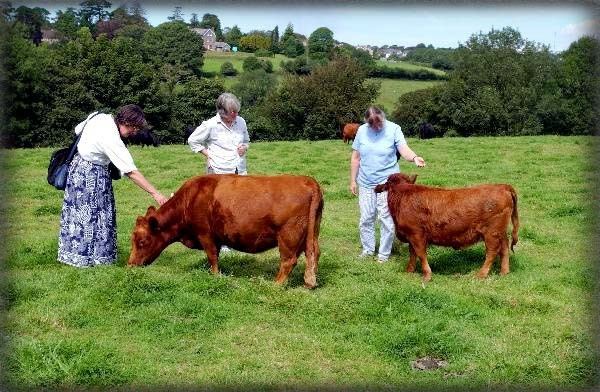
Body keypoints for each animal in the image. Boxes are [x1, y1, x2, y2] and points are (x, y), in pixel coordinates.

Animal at [126, 175, 324, 288]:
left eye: (142, 241)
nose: (130, 265)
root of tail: (308, 181)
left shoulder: (205, 234)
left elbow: (212, 256)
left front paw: (215, 276)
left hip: (288, 236)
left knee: (289, 261)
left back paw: (275, 285)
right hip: (311, 233)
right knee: (313, 253)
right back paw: (310, 282)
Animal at [376, 173, 520, 280]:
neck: (403, 197)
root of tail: (502, 186)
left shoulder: (416, 234)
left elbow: (421, 254)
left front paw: (427, 275)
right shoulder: (411, 236)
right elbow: (413, 254)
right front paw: (409, 271)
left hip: (492, 233)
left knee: (492, 252)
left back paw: (481, 274)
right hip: (500, 232)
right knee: (504, 249)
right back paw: (504, 272)